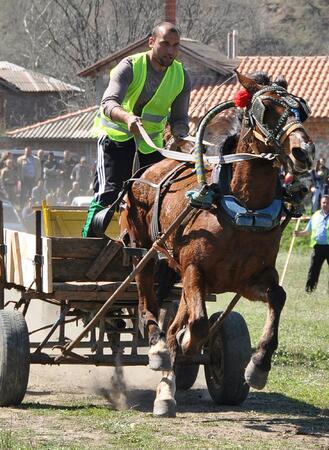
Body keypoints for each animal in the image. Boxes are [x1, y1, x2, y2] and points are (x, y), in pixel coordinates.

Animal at [119, 72, 314, 416]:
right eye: (267, 109)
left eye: (300, 110)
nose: (303, 151)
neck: (244, 207)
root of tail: (149, 168)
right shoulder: (195, 270)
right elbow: (195, 326)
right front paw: (184, 346)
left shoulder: (250, 280)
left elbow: (278, 297)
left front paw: (258, 366)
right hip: (146, 250)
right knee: (147, 303)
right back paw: (158, 348)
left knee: (174, 320)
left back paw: (167, 384)